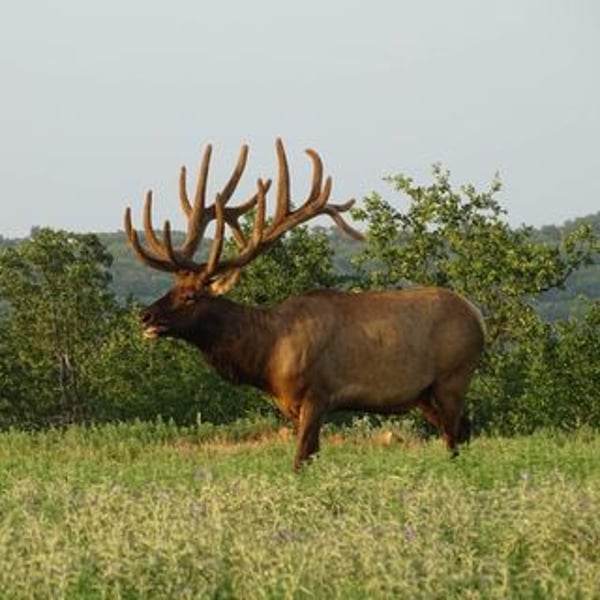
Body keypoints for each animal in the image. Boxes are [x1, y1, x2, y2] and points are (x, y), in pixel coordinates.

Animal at [124, 139, 486, 470]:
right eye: (173, 287)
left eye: (191, 296)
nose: (145, 316)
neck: (266, 355)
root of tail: (477, 315)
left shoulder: (317, 394)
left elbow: (301, 460)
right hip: (422, 394)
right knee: (461, 431)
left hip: (453, 377)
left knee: (454, 436)